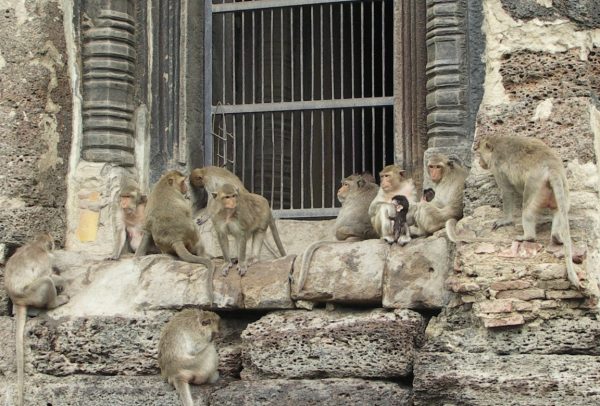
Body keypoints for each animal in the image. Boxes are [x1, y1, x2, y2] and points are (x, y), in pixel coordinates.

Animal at [4, 232, 69, 406]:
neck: (36, 244)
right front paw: (65, 279)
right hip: (32, 294)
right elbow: (48, 275)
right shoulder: (45, 258)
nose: (55, 245)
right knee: (46, 281)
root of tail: (17, 300)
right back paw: (55, 302)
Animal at [474, 136, 580, 288]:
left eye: (480, 153)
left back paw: (528, 237)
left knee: (528, 211)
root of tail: (552, 168)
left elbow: (507, 191)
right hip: (562, 188)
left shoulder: (497, 166)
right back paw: (556, 236)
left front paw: (505, 220)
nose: (479, 162)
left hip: (535, 186)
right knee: (560, 211)